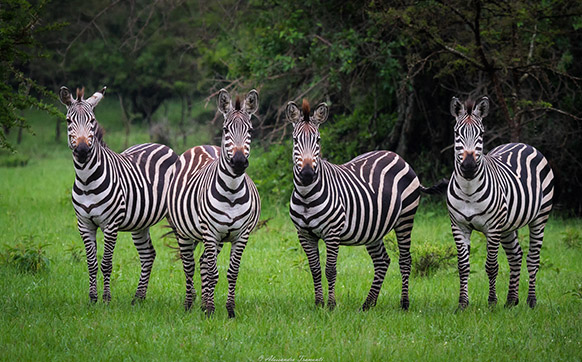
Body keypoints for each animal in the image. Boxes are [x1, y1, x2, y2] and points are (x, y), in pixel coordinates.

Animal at [59, 85, 179, 302]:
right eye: (68, 121)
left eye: (92, 121)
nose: (82, 150)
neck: (86, 180)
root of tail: (162, 145)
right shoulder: (84, 225)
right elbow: (91, 263)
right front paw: (93, 299)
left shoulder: (110, 224)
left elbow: (106, 263)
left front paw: (106, 299)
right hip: (140, 221)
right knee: (148, 255)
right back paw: (138, 298)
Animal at [168, 87, 262, 316]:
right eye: (226, 129)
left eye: (250, 131)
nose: (239, 162)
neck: (232, 191)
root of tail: (202, 146)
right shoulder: (211, 232)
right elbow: (211, 271)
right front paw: (211, 310)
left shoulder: (242, 235)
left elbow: (232, 272)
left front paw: (229, 310)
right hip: (182, 231)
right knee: (189, 265)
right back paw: (189, 305)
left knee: (202, 262)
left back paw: (202, 304)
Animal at [288, 99, 438, 312]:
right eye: (295, 140)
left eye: (318, 140)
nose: (308, 174)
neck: (306, 195)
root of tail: (398, 157)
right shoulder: (304, 234)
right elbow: (315, 269)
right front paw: (318, 304)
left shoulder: (332, 232)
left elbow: (330, 270)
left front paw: (331, 306)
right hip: (374, 228)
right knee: (383, 261)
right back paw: (368, 304)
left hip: (405, 219)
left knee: (405, 260)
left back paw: (404, 304)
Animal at [450, 95, 556, 308]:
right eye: (457, 133)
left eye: (481, 134)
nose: (468, 167)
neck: (468, 189)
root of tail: (523, 144)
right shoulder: (459, 226)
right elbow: (463, 266)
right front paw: (463, 304)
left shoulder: (492, 228)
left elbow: (491, 266)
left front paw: (491, 302)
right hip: (507, 226)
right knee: (516, 256)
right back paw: (511, 301)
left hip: (539, 218)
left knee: (533, 259)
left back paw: (531, 301)